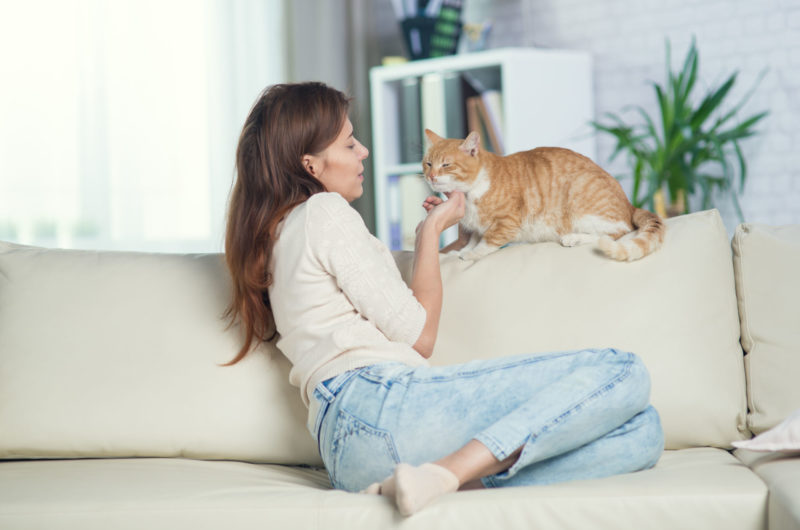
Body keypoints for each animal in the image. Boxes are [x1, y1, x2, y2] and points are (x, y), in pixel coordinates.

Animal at [422, 128, 664, 260]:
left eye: (446, 165)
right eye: (428, 163)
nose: (431, 176)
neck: (471, 192)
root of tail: (629, 204)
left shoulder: (507, 222)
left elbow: (487, 242)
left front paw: (470, 254)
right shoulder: (476, 227)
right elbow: (473, 239)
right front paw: (458, 252)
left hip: (581, 204)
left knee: (616, 232)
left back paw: (573, 238)